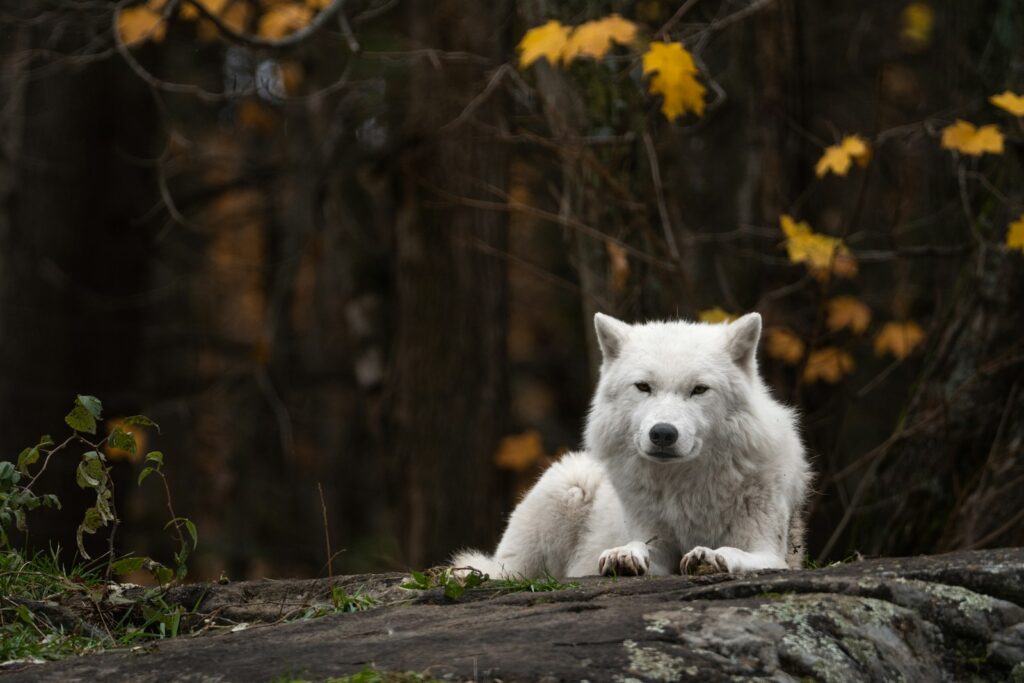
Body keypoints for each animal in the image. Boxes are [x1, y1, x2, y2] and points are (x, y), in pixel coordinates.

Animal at [453, 312, 811, 578]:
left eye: (699, 390)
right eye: (643, 387)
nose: (663, 433)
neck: (685, 488)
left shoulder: (770, 551)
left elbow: (733, 551)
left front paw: (709, 556)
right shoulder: (655, 542)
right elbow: (642, 547)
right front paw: (623, 555)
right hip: (566, 487)